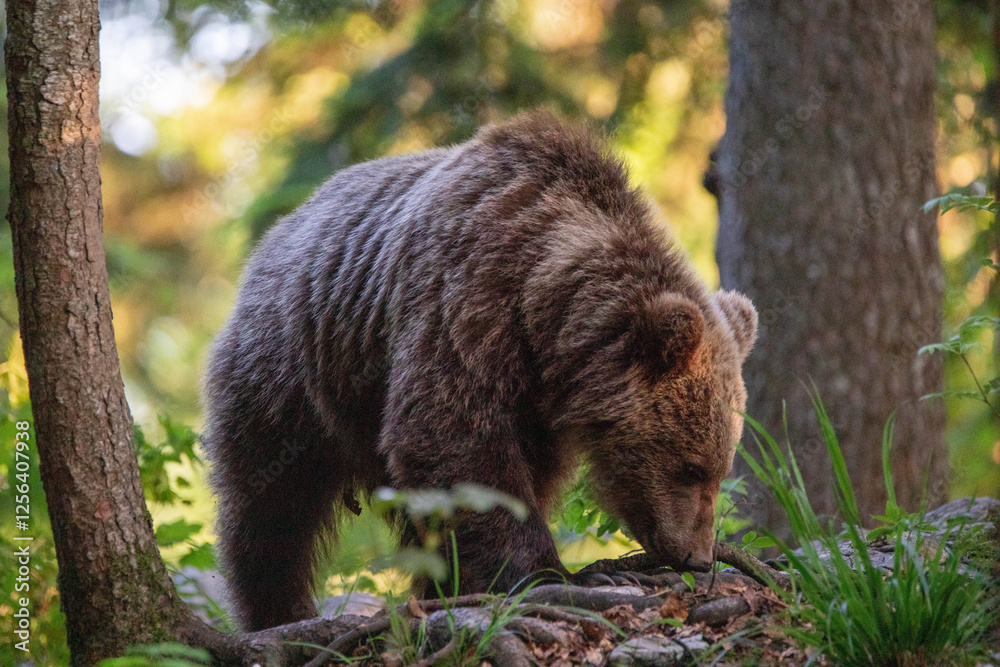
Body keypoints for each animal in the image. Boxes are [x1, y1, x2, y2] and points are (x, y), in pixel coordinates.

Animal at [204, 112, 758, 632]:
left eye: (721, 467)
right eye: (691, 467)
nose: (696, 556)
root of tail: (279, 230)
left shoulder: (536, 398)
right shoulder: (463, 303)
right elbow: (455, 443)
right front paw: (557, 574)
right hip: (289, 370)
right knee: (270, 507)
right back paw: (278, 611)